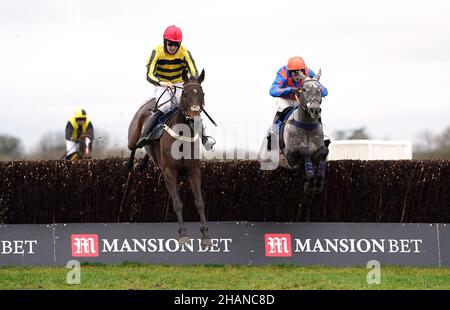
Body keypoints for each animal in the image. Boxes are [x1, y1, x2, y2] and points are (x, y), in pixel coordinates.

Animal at [126, 70, 211, 247]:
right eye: (185, 94)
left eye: (202, 94)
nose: (195, 119)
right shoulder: (169, 172)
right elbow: (177, 204)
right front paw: (183, 234)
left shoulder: (194, 171)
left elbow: (199, 202)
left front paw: (206, 235)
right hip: (133, 136)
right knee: (133, 147)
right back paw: (131, 165)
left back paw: (141, 165)